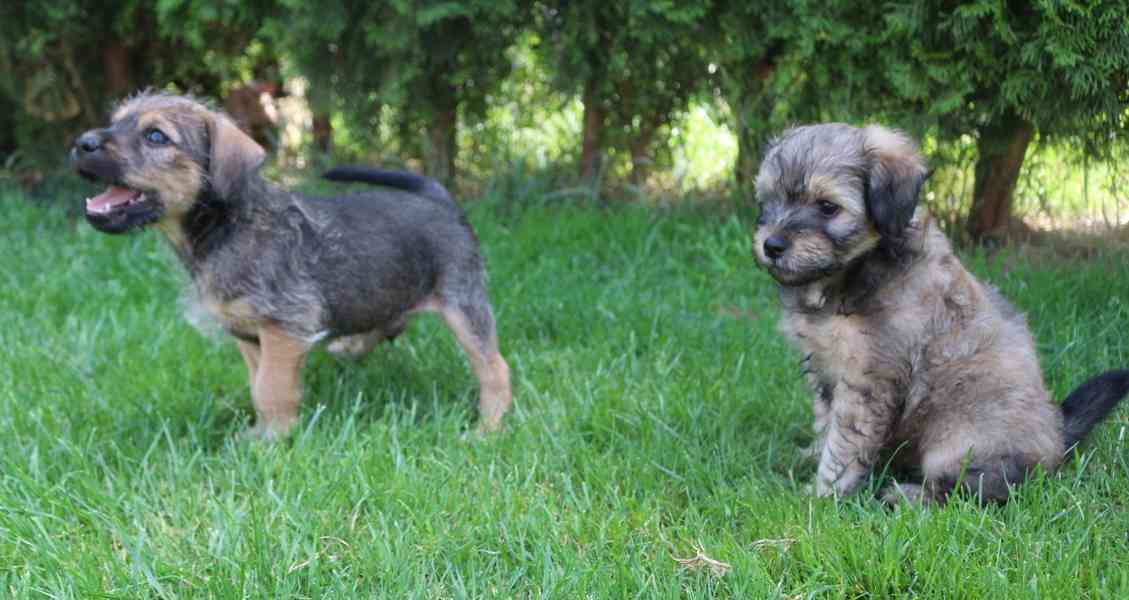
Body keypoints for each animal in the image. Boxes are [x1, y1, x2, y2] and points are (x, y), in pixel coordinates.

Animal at [71, 94, 512, 440]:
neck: (225, 227)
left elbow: (271, 389)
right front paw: (259, 434)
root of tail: (440, 199)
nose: (81, 143)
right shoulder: (249, 336)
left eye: (156, 136)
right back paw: (352, 345)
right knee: (387, 322)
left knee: (494, 368)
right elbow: (257, 385)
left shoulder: (283, 328)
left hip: (462, 303)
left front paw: (272, 443)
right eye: (115, 121)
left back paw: (487, 429)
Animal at [749, 124, 1129, 503]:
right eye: (767, 201)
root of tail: (1058, 438)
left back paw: (907, 496)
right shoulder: (823, 368)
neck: (852, 271)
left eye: (827, 207)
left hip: (957, 442)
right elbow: (825, 421)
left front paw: (821, 495)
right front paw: (809, 458)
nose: (772, 245)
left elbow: (844, 444)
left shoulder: (868, 379)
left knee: (971, 490)